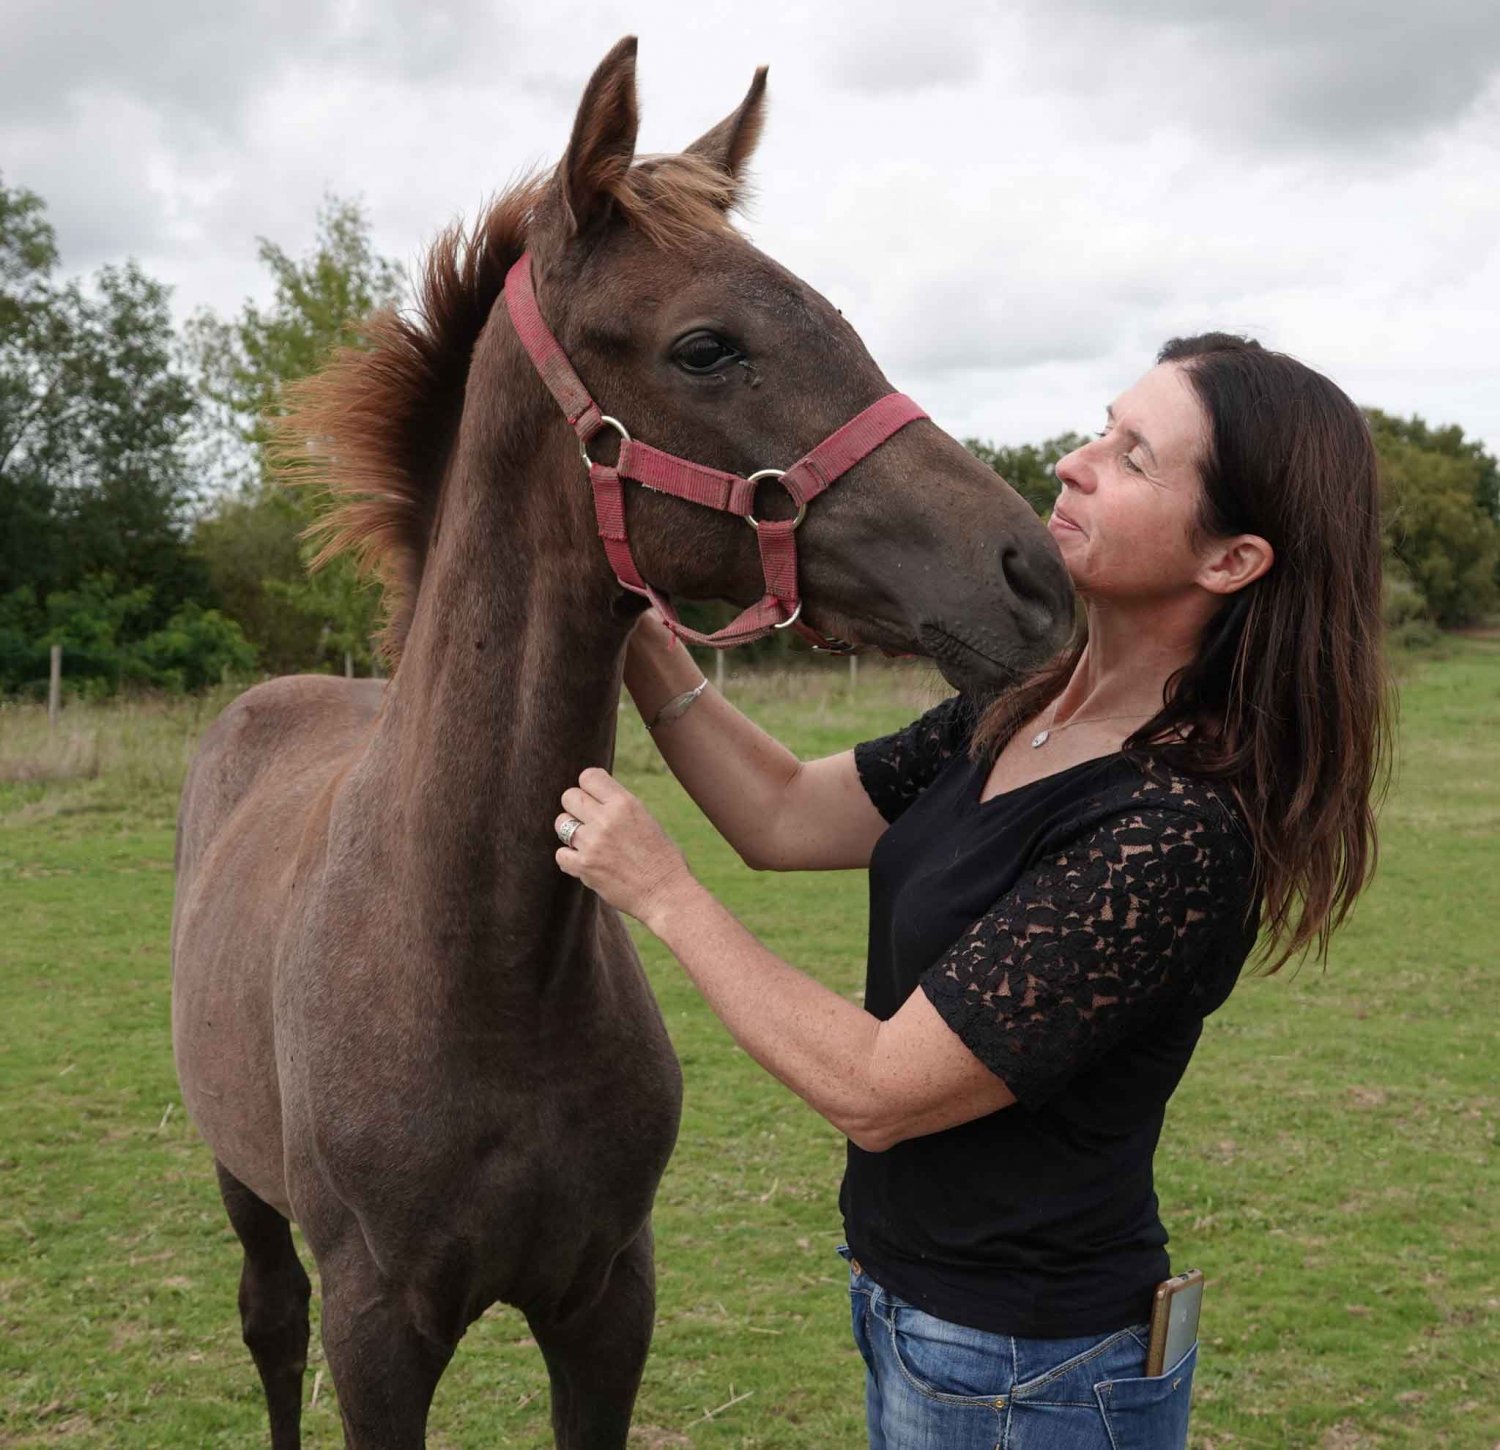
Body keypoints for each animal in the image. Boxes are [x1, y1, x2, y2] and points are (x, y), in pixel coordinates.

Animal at [170, 36, 1072, 1449]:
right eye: (705, 347)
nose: (1031, 575)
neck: (484, 970)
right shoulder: (377, 1330)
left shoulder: (607, 1299)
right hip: (242, 1185)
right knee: (266, 1327)